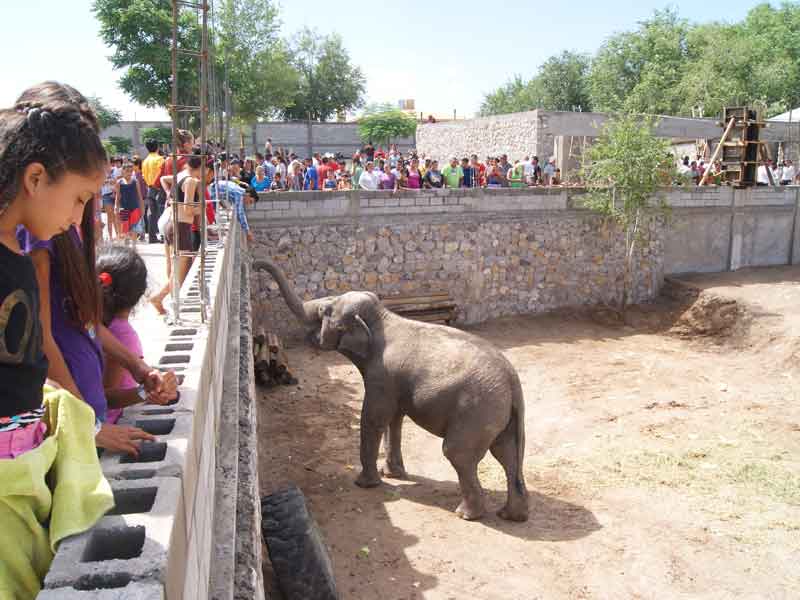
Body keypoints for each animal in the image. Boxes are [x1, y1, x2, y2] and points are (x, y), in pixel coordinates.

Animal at [255, 258, 532, 520]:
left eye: (325, 311)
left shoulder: (382, 377)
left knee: (458, 453)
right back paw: (511, 516)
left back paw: (466, 515)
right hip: (500, 415)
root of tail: (513, 383)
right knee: (508, 455)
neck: (383, 317)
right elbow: (394, 419)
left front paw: (365, 484)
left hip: (476, 412)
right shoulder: (395, 382)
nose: (254, 265)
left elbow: (374, 418)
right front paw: (393, 474)